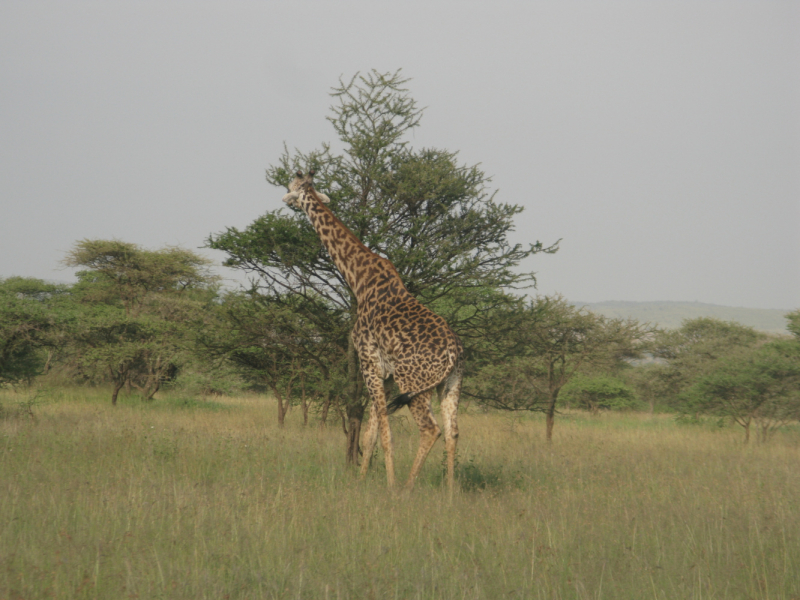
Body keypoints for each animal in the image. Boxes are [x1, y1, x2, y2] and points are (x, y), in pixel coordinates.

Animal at [282, 171, 462, 490]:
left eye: (292, 188)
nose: (284, 200)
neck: (358, 277)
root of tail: (453, 354)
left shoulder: (368, 361)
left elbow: (383, 432)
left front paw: (388, 485)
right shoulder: (386, 374)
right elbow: (371, 433)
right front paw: (362, 480)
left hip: (414, 384)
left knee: (431, 430)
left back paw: (406, 489)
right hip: (451, 384)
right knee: (452, 433)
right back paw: (451, 492)